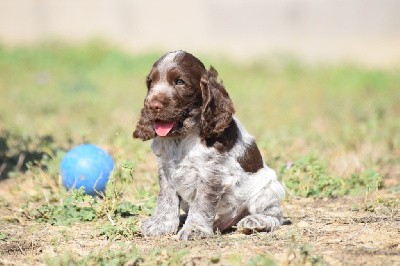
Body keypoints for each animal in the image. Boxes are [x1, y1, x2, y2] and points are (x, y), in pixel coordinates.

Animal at [134, 51, 288, 240]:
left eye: (180, 82)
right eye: (151, 82)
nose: (152, 105)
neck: (182, 137)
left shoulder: (211, 174)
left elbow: (202, 203)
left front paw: (194, 229)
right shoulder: (165, 169)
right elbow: (166, 198)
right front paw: (161, 225)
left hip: (267, 188)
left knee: (276, 214)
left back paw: (256, 221)